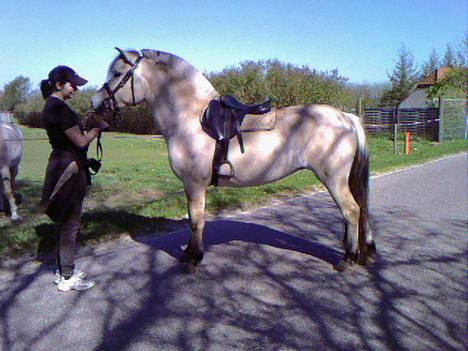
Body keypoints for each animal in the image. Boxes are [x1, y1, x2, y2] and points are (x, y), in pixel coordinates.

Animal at [92, 47, 376, 272]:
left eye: (117, 74)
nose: (95, 102)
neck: (190, 117)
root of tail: (346, 117)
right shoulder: (191, 186)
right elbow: (193, 218)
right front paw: (189, 254)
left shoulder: (195, 184)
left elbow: (196, 220)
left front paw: (194, 259)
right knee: (359, 211)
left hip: (333, 179)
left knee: (351, 211)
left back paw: (347, 259)